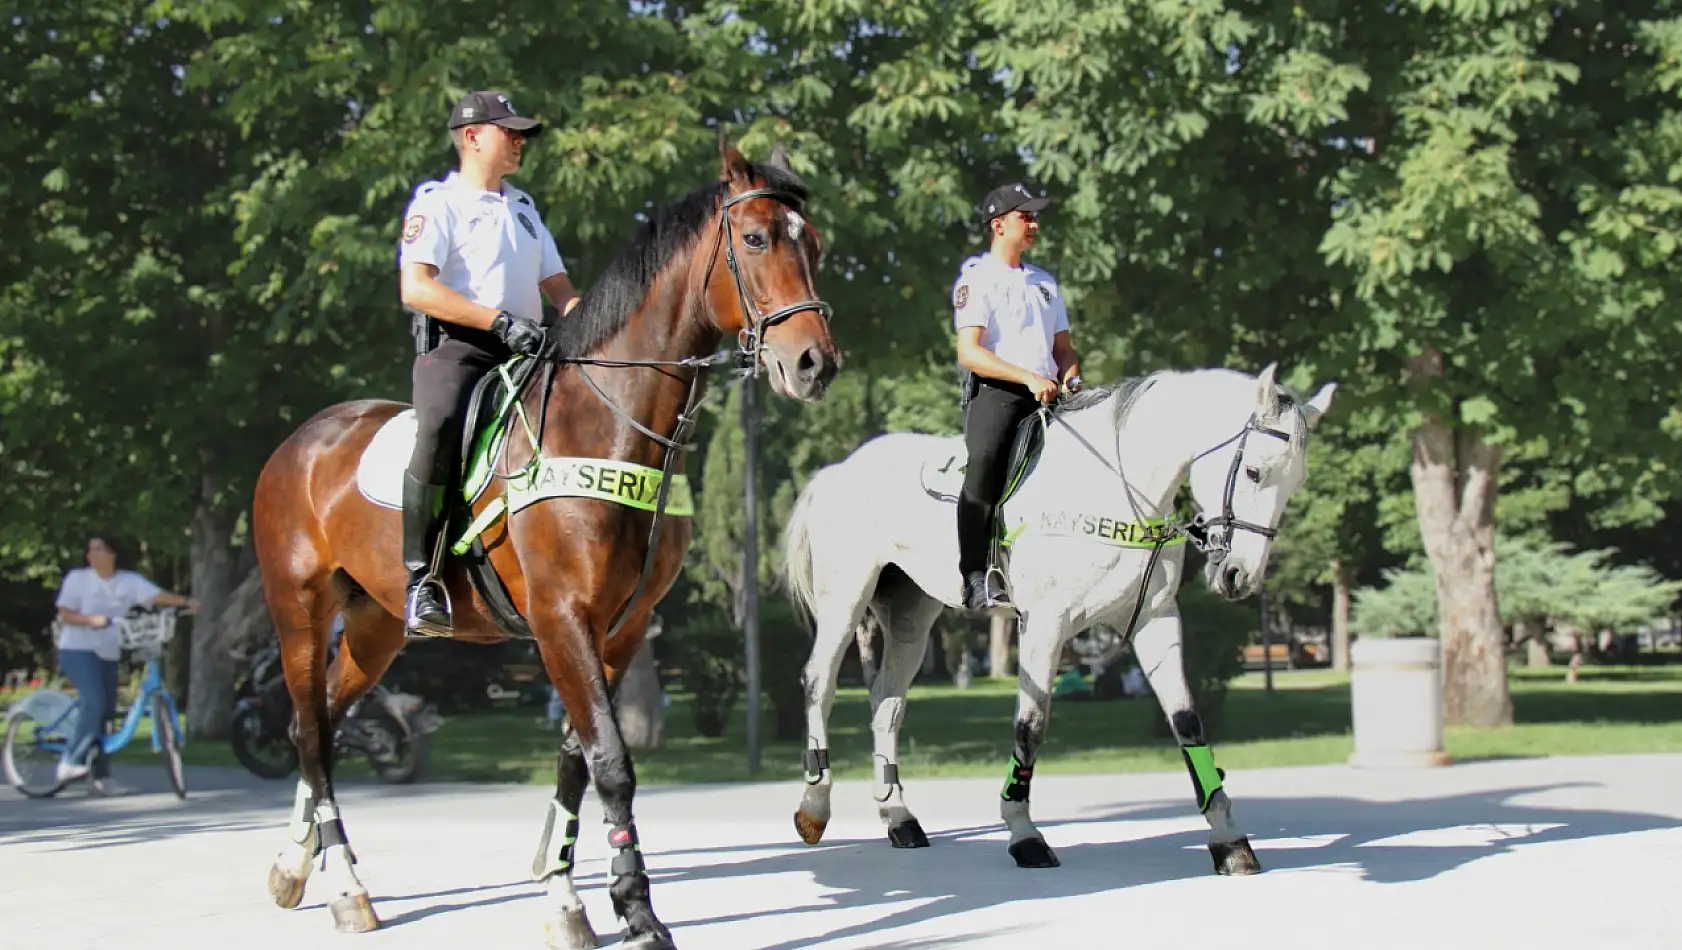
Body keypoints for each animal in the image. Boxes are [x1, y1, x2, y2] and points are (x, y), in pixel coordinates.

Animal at [248, 138, 841, 948]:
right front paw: (636, 910)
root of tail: (300, 441)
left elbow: (576, 759)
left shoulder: (620, 626)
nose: (815, 363)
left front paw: (566, 896)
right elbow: (611, 762)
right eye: (754, 239)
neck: (609, 422)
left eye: (814, 244)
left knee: (326, 725)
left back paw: (292, 863)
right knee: (308, 731)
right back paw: (344, 885)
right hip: (299, 614)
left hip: (374, 628)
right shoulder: (562, 619)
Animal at [780, 363, 1332, 874]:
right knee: (819, 683)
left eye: (1297, 483)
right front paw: (1024, 834)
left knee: (887, 704)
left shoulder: (1154, 620)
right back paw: (814, 807)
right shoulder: (1044, 624)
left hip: (912, 615)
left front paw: (1229, 838)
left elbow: (1187, 720)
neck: (1116, 486)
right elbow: (1031, 724)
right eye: (1254, 471)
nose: (1241, 576)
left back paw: (900, 819)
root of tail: (838, 470)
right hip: (846, 600)